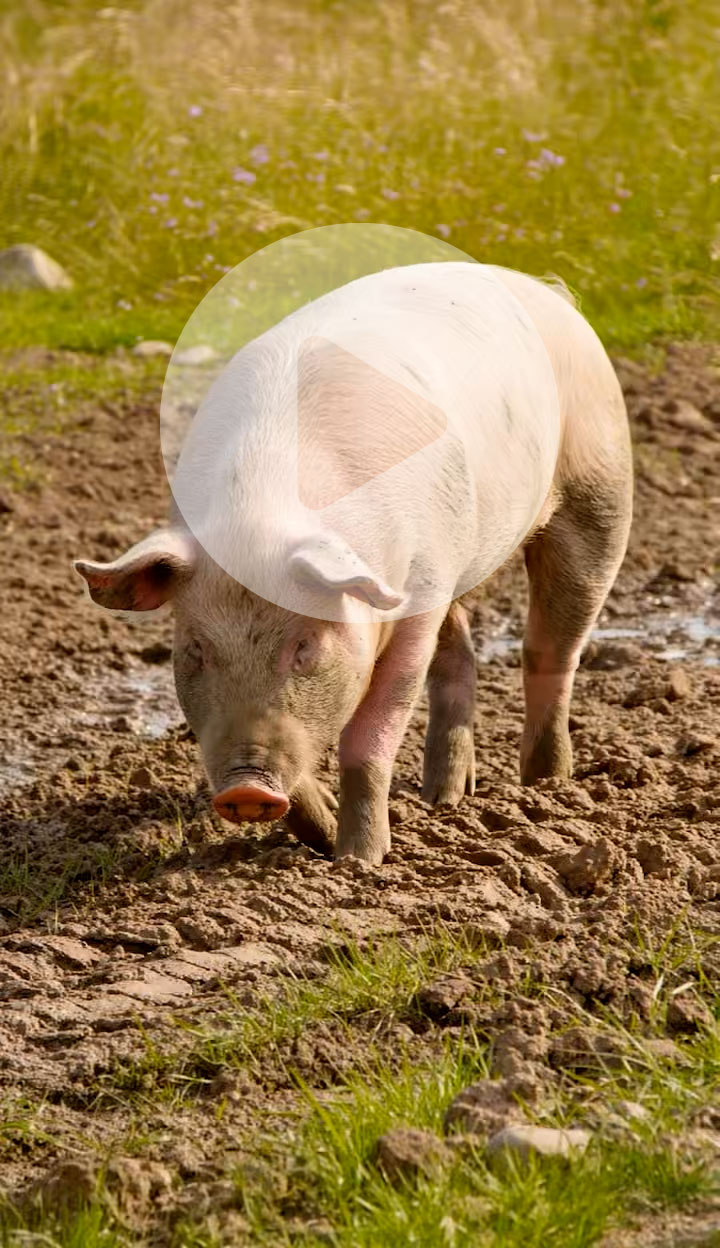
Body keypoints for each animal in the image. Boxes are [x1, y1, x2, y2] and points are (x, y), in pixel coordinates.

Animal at [75, 262, 632, 865]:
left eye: (304, 646)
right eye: (195, 649)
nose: (246, 791)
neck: (260, 513)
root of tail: (546, 290)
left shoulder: (415, 594)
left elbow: (370, 736)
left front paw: (360, 863)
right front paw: (323, 843)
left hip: (599, 493)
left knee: (551, 649)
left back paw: (547, 787)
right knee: (460, 656)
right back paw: (446, 799)